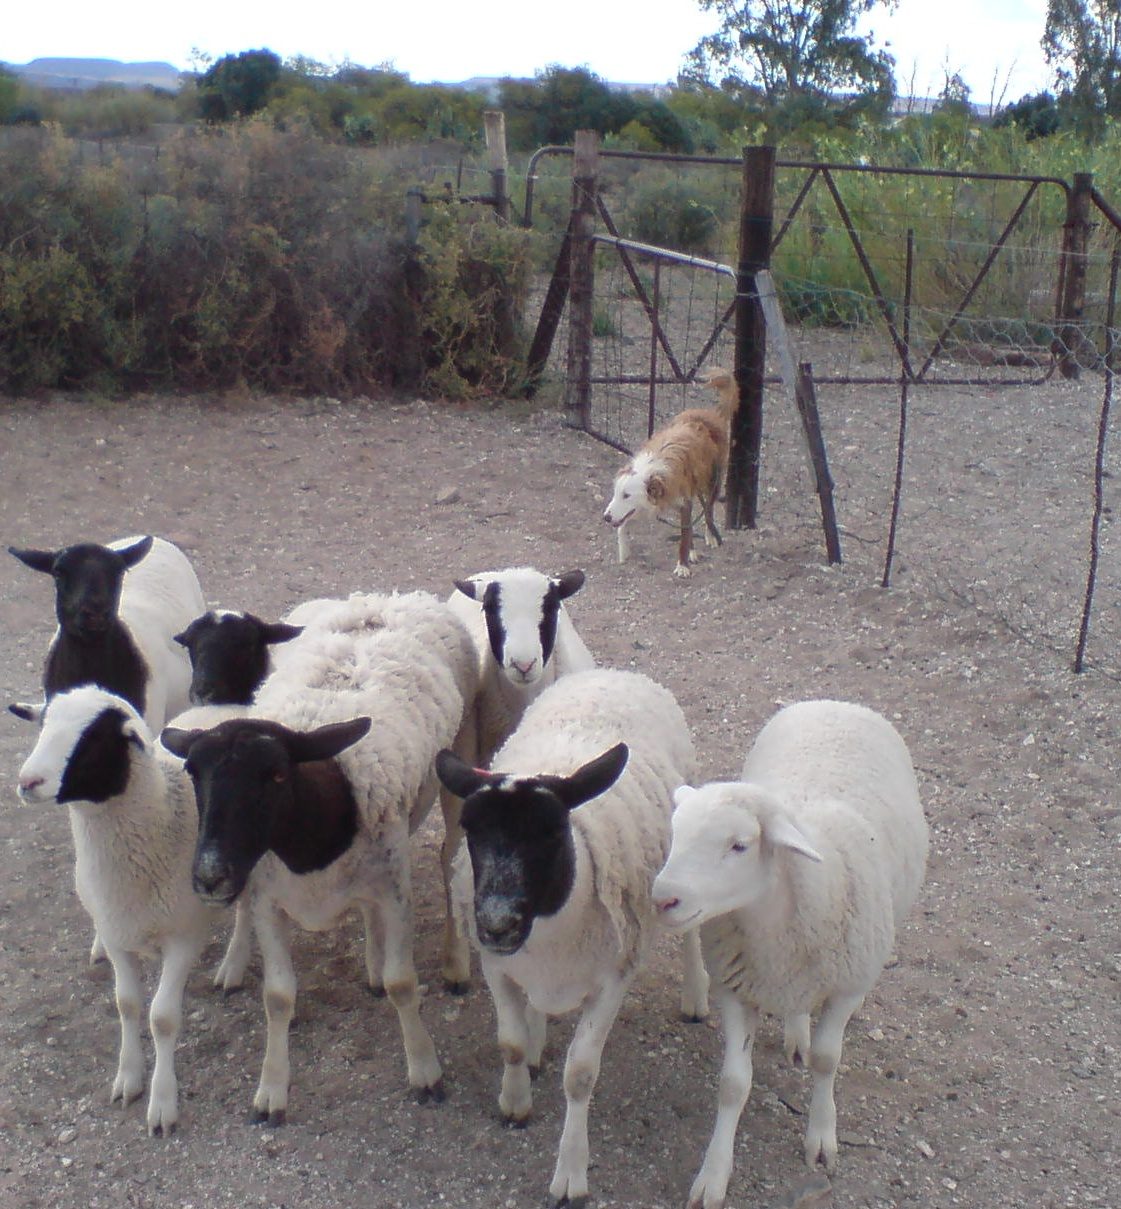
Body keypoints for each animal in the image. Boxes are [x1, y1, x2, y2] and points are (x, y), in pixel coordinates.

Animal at [15, 685, 222, 1136]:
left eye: (92, 739)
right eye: (43, 724)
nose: (27, 782)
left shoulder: (184, 935)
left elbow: (162, 1017)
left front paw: (162, 1102)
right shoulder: (116, 931)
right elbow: (126, 1004)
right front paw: (129, 1078)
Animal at [160, 590, 478, 1123]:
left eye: (275, 775)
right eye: (194, 773)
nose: (209, 875)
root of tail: (381, 597)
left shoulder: (395, 891)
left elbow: (403, 984)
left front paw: (424, 1068)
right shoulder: (267, 899)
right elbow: (278, 996)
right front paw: (272, 1090)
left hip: (458, 761)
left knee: (450, 853)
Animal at [435, 667, 698, 1207]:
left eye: (552, 832)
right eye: (470, 830)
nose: (495, 923)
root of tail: (615, 672)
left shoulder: (614, 976)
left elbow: (579, 1076)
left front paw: (571, 1172)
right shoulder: (497, 966)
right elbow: (510, 1042)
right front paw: (515, 1102)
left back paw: (695, 995)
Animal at [652, 699, 929, 1208]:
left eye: (739, 845)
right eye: (675, 832)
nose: (663, 899)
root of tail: (834, 702)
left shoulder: (844, 986)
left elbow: (826, 1061)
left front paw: (821, 1138)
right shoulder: (735, 989)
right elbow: (733, 1085)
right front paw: (714, 1173)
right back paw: (796, 1030)